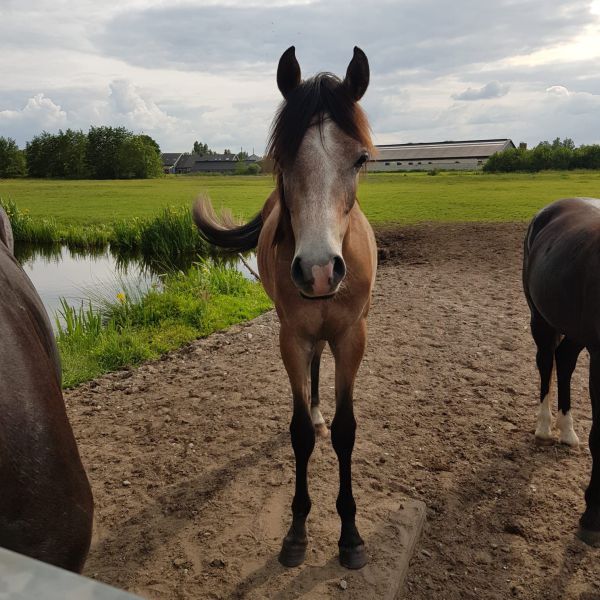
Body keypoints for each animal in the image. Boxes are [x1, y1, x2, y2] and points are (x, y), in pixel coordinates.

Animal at [195, 45, 378, 568]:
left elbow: (346, 430)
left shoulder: (351, 337)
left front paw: (350, 534)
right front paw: (297, 532)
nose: (318, 271)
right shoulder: (291, 337)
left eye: (359, 159)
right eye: (282, 156)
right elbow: (298, 433)